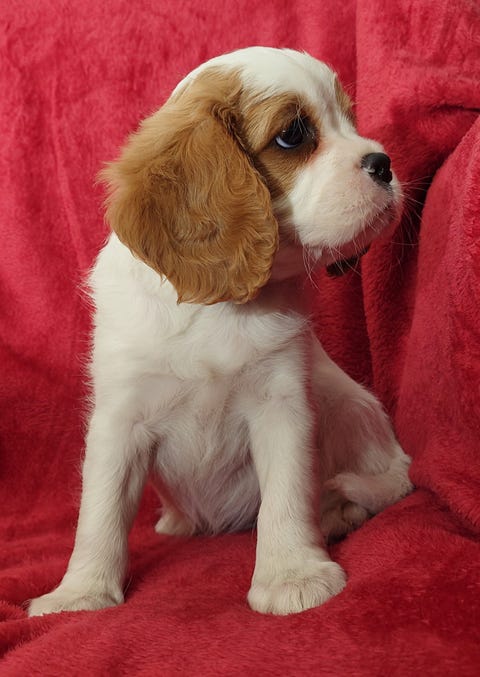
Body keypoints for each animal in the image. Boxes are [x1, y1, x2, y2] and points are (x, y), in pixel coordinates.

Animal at [28, 47, 413, 617]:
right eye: (293, 134)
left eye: (351, 119)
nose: (383, 163)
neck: (221, 308)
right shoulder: (120, 419)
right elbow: (99, 512)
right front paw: (80, 594)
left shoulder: (283, 405)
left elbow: (286, 496)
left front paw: (291, 574)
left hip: (348, 404)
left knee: (389, 476)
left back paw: (338, 509)